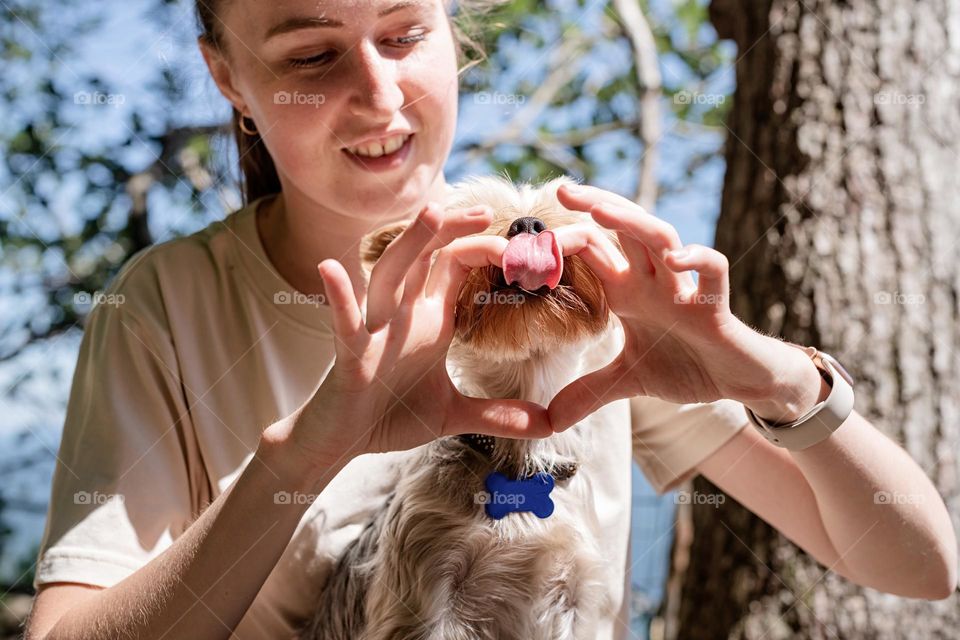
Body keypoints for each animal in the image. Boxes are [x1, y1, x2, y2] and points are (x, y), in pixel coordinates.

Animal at [304, 175, 628, 640]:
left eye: (564, 213)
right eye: (475, 220)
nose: (527, 224)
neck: (518, 460)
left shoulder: (571, 592)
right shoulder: (424, 584)